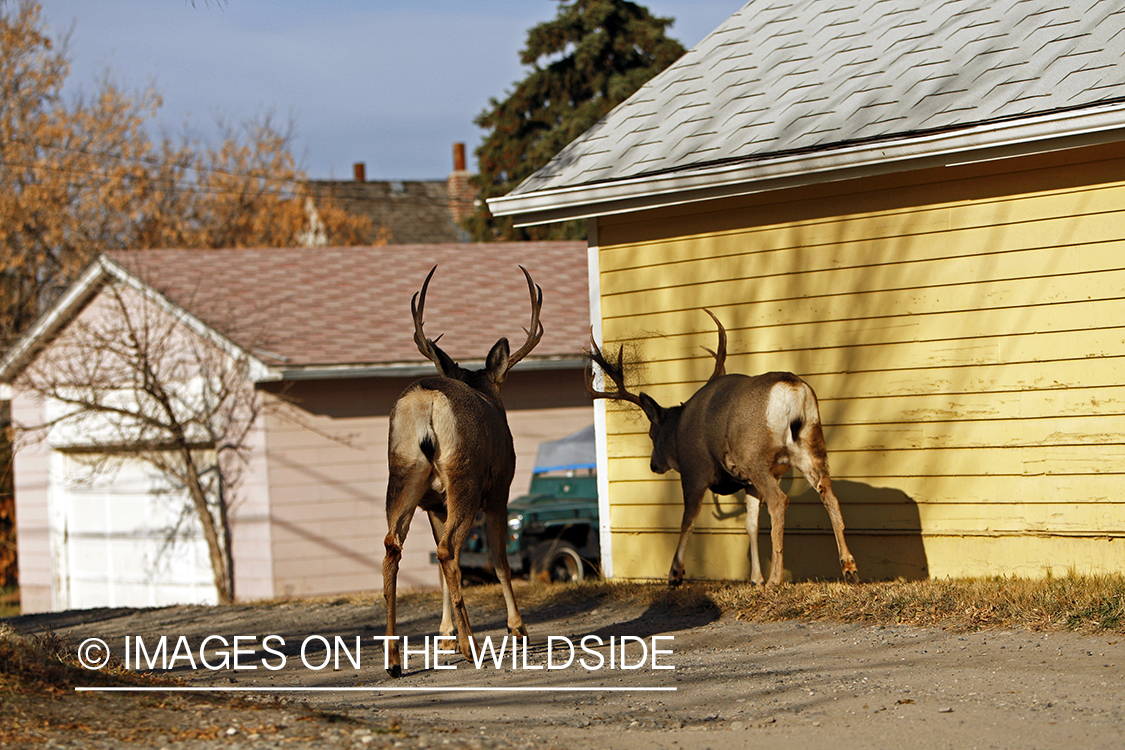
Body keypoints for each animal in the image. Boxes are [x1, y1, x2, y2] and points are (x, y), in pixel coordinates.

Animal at [382, 265, 542, 677]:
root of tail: (426, 403)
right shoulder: (500, 492)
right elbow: (500, 560)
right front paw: (518, 629)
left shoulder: (433, 504)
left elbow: (440, 574)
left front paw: (445, 635)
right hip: (465, 478)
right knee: (448, 549)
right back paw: (472, 648)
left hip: (403, 473)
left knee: (395, 546)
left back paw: (394, 659)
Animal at [585, 310, 859, 588]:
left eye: (652, 434)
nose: (653, 465)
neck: (679, 429)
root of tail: (792, 388)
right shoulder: (748, 483)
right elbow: (750, 524)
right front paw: (755, 578)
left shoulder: (695, 470)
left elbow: (688, 520)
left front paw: (675, 573)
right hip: (812, 445)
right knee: (828, 493)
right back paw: (849, 568)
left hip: (756, 457)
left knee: (779, 500)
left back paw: (776, 579)